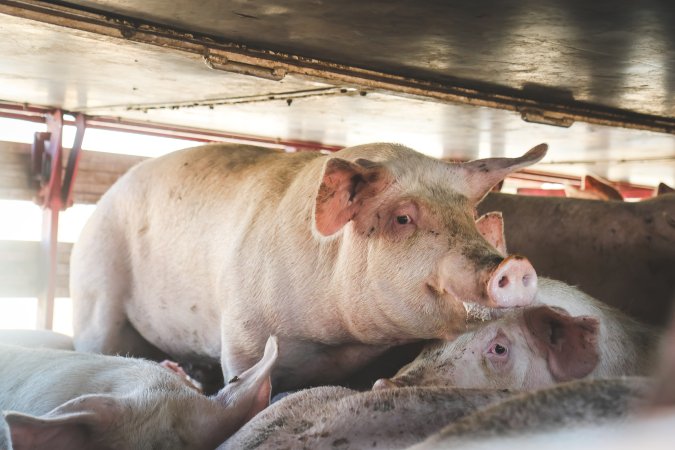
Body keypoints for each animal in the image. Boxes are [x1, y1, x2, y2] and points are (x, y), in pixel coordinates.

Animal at [72, 142, 548, 392]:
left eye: (469, 215)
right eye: (402, 218)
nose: (514, 264)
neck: (335, 341)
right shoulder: (242, 332)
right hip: (96, 290)